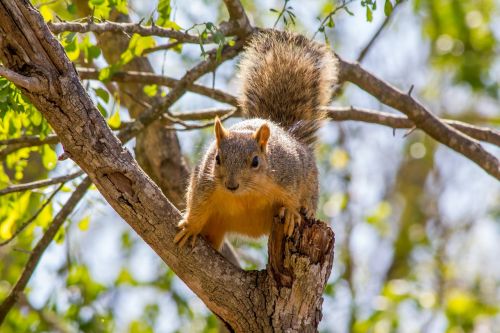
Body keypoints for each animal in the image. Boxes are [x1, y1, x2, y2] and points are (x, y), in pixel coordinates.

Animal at [174, 29, 338, 249]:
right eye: (217, 159)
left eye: (255, 161)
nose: (231, 186)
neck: (247, 193)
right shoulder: (204, 183)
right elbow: (198, 205)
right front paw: (190, 227)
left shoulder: (289, 174)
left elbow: (292, 197)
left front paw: (291, 213)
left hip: (310, 180)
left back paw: (307, 210)